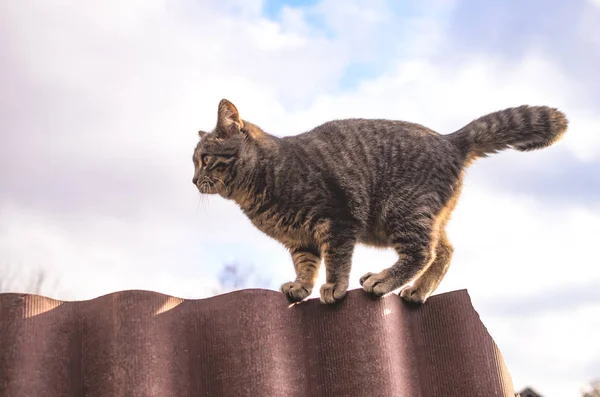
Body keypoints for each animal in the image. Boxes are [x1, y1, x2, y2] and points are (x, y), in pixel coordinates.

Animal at [192, 99, 568, 304]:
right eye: (194, 161)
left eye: (205, 159)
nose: (193, 180)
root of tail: (450, 140)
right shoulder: (301, 240)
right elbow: (306, 265)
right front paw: (301, 287)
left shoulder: (337, 221)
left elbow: (337, 261)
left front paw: (333, 287)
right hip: (424, 217)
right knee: (444, 251)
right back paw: (417, 291)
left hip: (402, 210)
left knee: (422, 252)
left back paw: (383, 280)